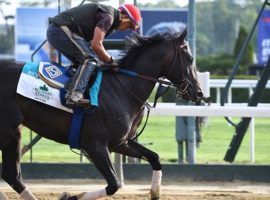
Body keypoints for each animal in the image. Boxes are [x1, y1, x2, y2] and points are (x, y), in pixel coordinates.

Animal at [0, 30, 201, 200]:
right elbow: (113, 185)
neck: (123, 88)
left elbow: (155, 158)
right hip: (7, 131)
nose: (198, 92)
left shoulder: (120, 142)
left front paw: (155, 192)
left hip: (13, 132)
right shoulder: (95, 144)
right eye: (190, 58)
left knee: (11, 175)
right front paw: (71, 196)